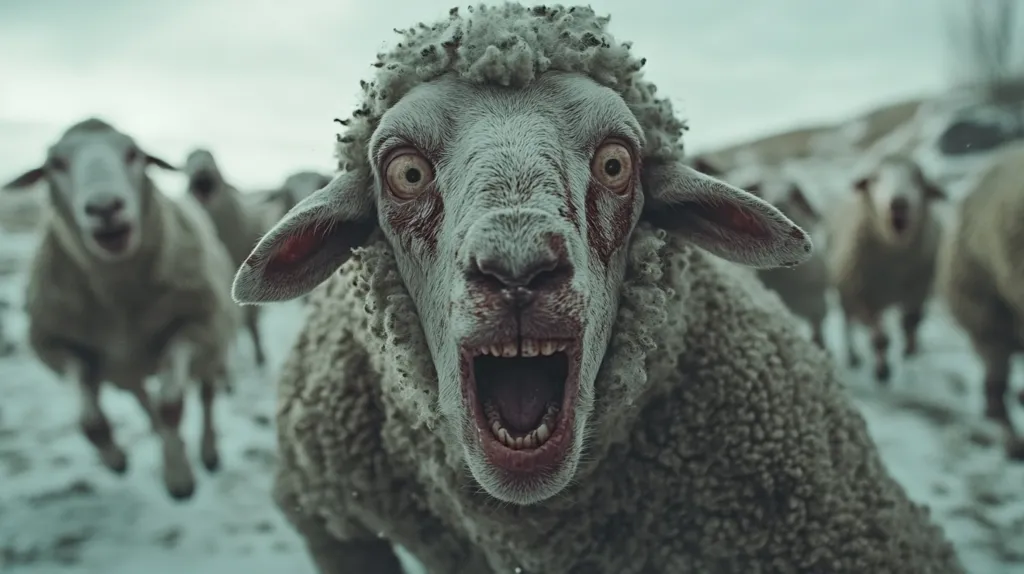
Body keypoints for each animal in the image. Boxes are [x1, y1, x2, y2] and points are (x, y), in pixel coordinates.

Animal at [2, 118, 241, 500]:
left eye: (134, 154)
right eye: (55, 164)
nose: (104, 207)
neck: (117, 296)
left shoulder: (194, 327)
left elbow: (171, 406)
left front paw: (180, 480)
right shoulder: (61, 347)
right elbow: (90, 422)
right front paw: (116, 460)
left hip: (213, 342)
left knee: (205, 395)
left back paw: (208, 452)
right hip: (125, 368)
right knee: (143, 401)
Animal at [827, 153, 947, 383]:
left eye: (918, 178)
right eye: (875, 179)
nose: (899, 203)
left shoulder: (919, 289)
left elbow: (911, 321)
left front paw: (910, 349)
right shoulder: (866, 296)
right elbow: (880, 339)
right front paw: (882, 371)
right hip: (848, 293)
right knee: (848, 323)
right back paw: (853, 356)